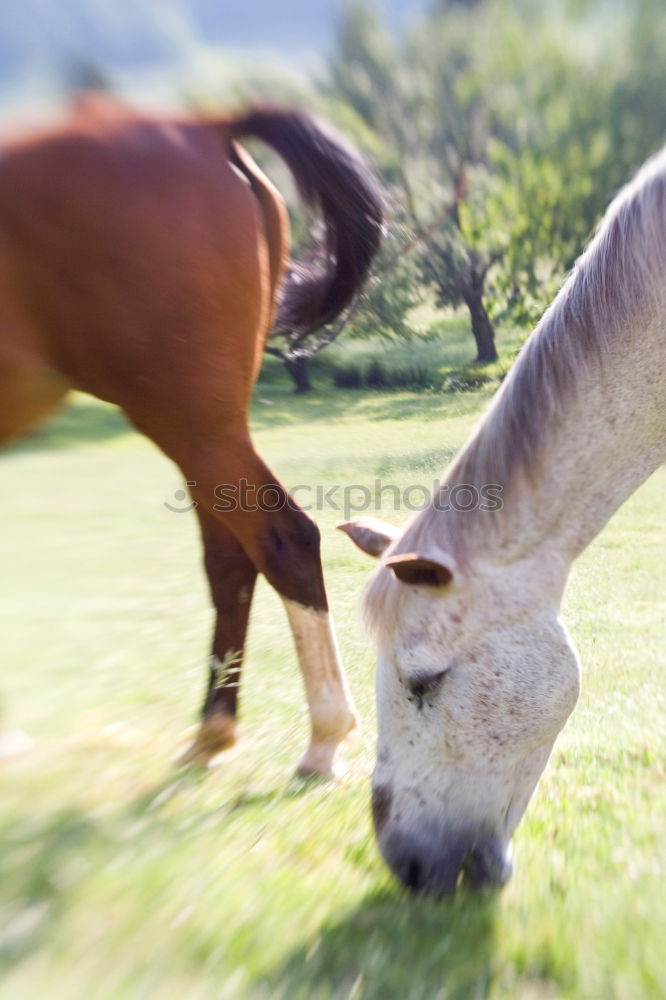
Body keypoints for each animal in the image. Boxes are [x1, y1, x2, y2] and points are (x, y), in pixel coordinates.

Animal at [0, 95, 382, 772]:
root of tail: (204, 125)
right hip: (204, 426)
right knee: (232, 555)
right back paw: (214, 729)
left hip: (187, 419)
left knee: (282, 538)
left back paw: (324, 734)